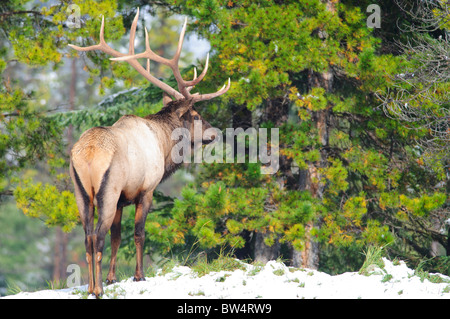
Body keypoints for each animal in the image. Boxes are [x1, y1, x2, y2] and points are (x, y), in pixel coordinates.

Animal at [68, 8, 230, 298]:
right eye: (196, 115)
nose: (215, 133)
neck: (164, 146)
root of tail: (88, 154)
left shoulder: (122, 200)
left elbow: (117, 236)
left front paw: (112, 278)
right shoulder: (146, 189)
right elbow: (138, 233)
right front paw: (138, 276)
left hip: (81, 192)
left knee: (87, 236)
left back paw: (91, 287)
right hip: (107, 190)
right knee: (97, 236)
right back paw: (97, 289)